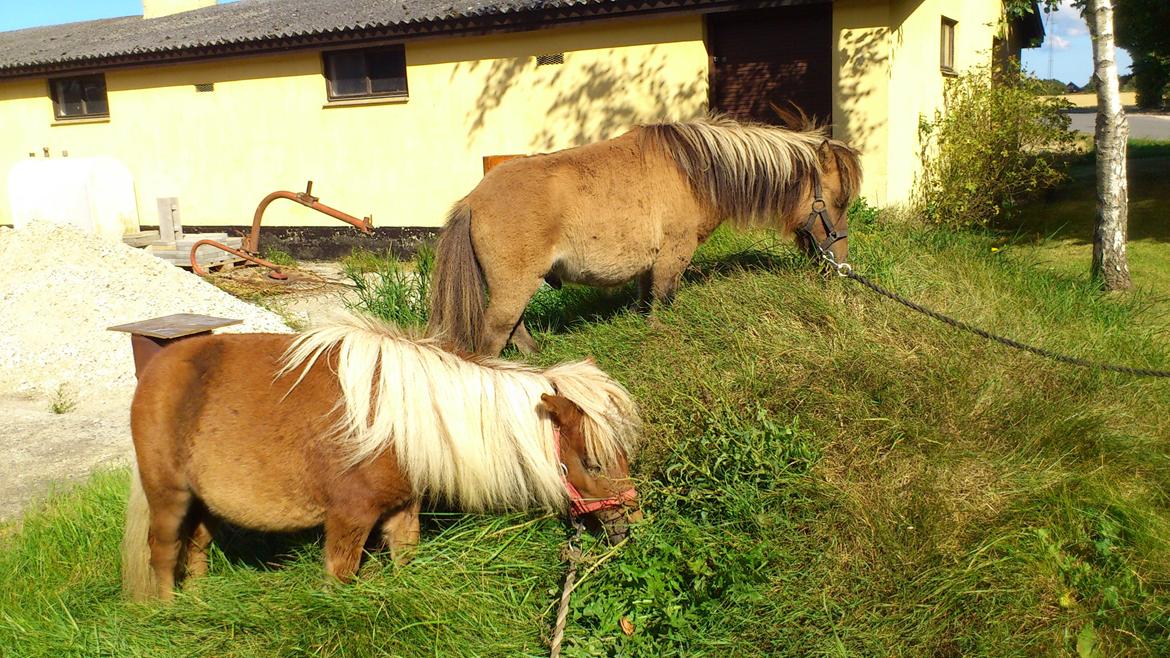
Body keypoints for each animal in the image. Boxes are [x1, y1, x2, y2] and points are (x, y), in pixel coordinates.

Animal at [121, 311, 641, 599]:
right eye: (593, 464)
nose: (631, 525)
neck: (397, 421)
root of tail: (156, 369)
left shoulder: (400, 510)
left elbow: (404, 560)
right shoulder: (348, 520)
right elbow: (339, 580)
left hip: (203, 502)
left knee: (197, 549)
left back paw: (199, 604)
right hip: (168, 496)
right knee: (163, 554)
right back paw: (168, 614)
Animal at [428, 115, 861, 355]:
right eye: (838, 200)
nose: (839, 263)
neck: (693, 170)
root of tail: (472, 201)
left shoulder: (647, 267)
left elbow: (645, 302)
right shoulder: (674, 256)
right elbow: (663, 304)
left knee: (515, 330)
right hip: (514, 286)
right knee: (495, 335)